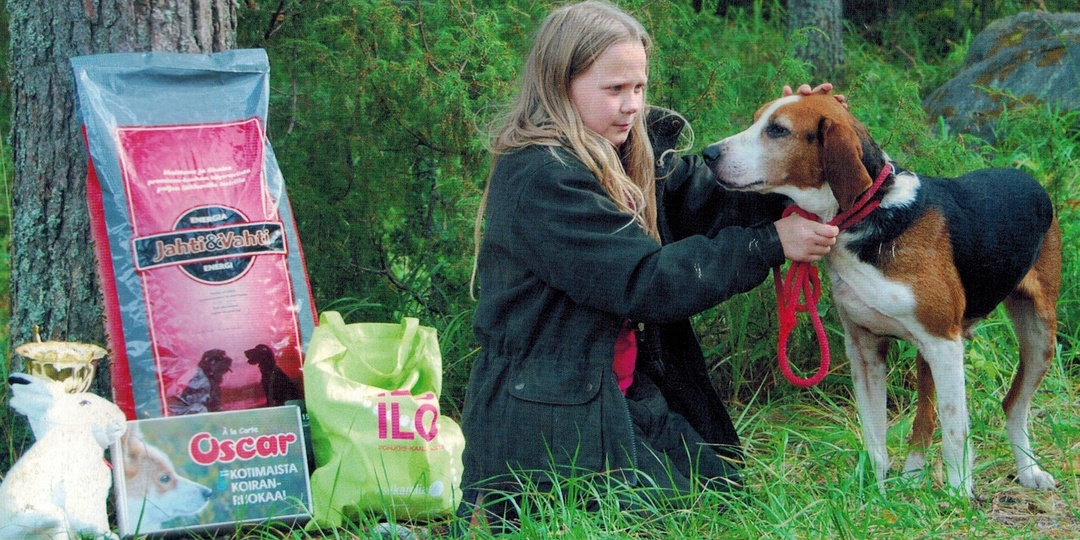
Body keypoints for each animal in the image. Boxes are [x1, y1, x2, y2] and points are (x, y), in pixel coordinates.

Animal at [699, 93, 1062, 496]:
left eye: (778, 130)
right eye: (756, 120)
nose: (707, 153)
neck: (868, 216)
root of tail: (1026, 178)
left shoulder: (944, 343)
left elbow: (955, 432)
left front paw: (958, 495)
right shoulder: (865, 349)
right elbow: (875, 437)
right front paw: (877, 493)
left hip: (1037, 337)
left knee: (1013, 405)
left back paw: (1028, 471)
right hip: (931, 355)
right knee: (926, 418)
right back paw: (914, 475)